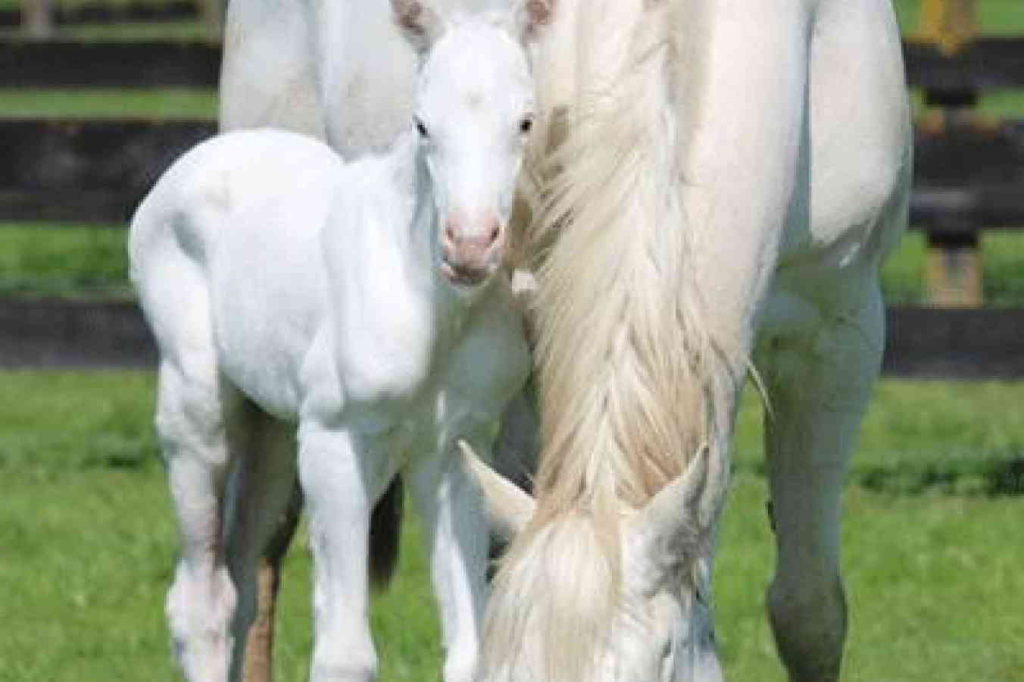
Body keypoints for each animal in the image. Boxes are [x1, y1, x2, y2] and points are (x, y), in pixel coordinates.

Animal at [129, 2, 550, 679]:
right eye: (421, 124)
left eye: (525, 122)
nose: (469, 244)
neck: (433, 309)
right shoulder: (334, 441)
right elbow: (345, 654)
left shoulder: (450, 451)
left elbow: (470, 648)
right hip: (198, 408)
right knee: (199, 601)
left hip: (273, 429)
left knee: (244, 568)